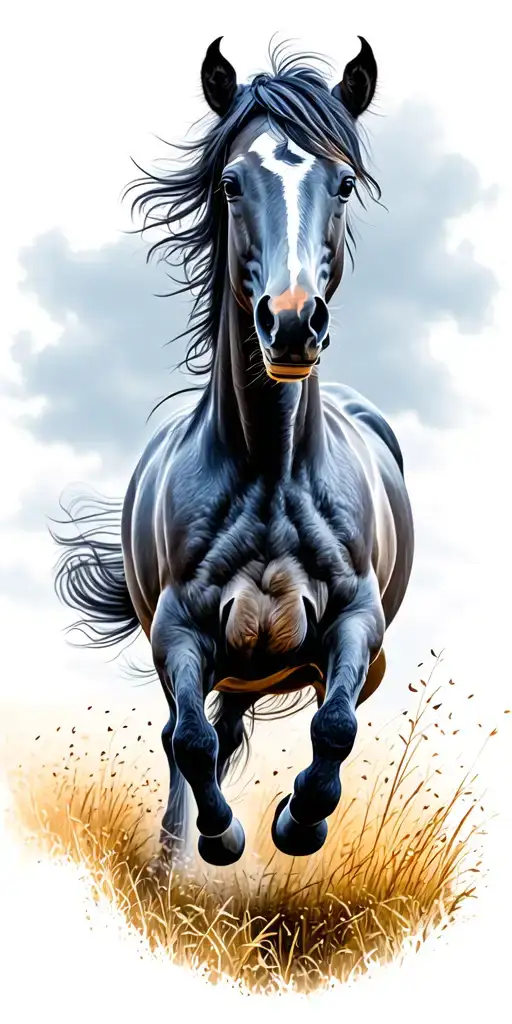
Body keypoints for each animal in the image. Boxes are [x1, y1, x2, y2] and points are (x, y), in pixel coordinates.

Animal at [54, 36, 414, 867]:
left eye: (343, 182)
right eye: (230, 182)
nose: (291, 324)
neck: (272, 474)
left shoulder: (357, 622)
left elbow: (334, 726)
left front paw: (297, 822)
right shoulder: (178, 631)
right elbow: (187, 740)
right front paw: (221, 839)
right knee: (190, 738)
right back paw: (174, 855)